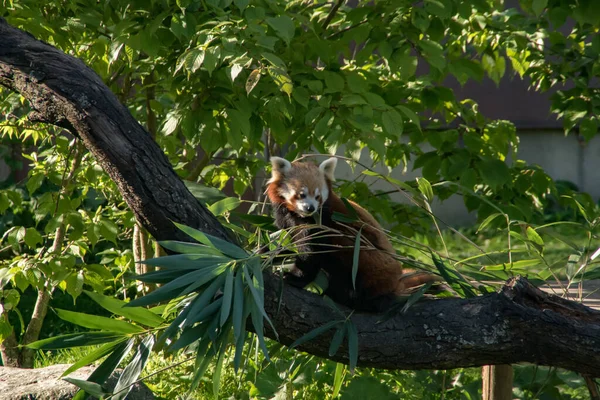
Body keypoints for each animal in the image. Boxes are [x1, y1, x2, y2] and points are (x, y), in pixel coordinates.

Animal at [268, 156, 436, 312]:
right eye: (301, 194)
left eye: (317, 197)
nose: (310, 208)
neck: (298, 215)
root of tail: (396, 282)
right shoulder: (286, 218)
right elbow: (284, 243)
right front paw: (266, 256)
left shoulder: (322, 222)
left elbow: (310, 253)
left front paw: (295, 277)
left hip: (365, 256)